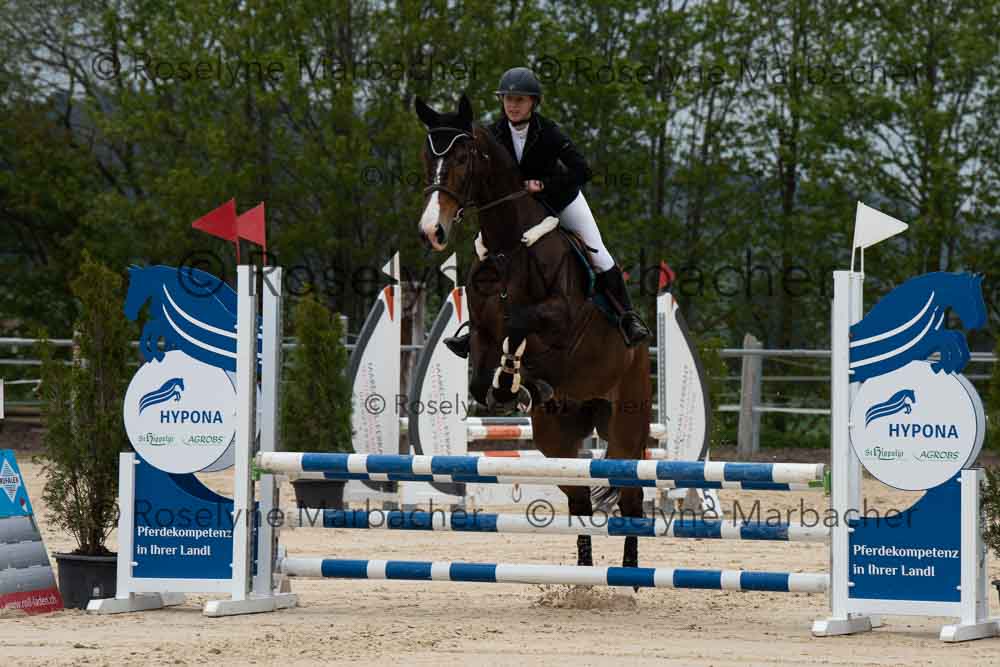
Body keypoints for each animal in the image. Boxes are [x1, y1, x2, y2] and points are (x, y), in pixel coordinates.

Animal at [415, 94, 651, 571]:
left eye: (463, 157)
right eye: (428, 157)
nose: (433, 230)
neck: (509, 246)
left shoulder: (562, 319)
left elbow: (520, 323)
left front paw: (517, 377)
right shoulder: (482, 332)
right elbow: (482, 365)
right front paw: (510, 386)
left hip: (625, 423)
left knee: (630, 495)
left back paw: (631, 576)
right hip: (556, 437)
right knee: (579, 499)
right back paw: (586, 580)